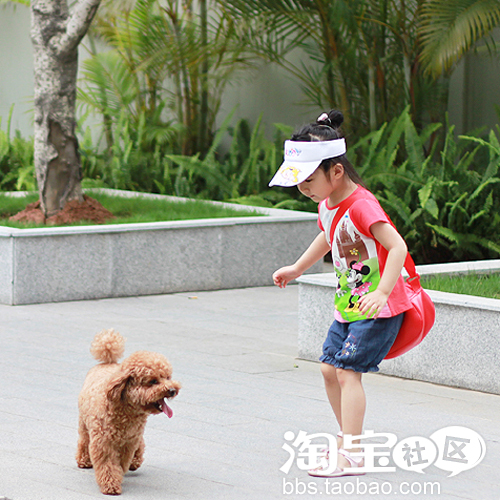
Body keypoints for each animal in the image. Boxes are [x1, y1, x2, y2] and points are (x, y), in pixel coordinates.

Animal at [76, 329, 181, 495]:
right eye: (153, 381)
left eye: (167, 377)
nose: (172, 390)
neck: (128, 410)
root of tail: (107, 363)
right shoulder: (103, 442)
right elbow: (108, 464)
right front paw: (111, 485)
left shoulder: (129, 441)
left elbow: (122, 460)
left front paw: (121, 471)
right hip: (84, 423)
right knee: (84, 440)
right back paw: (84, 460)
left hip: (135, 434)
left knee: (140, 444)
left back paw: (134, 462)